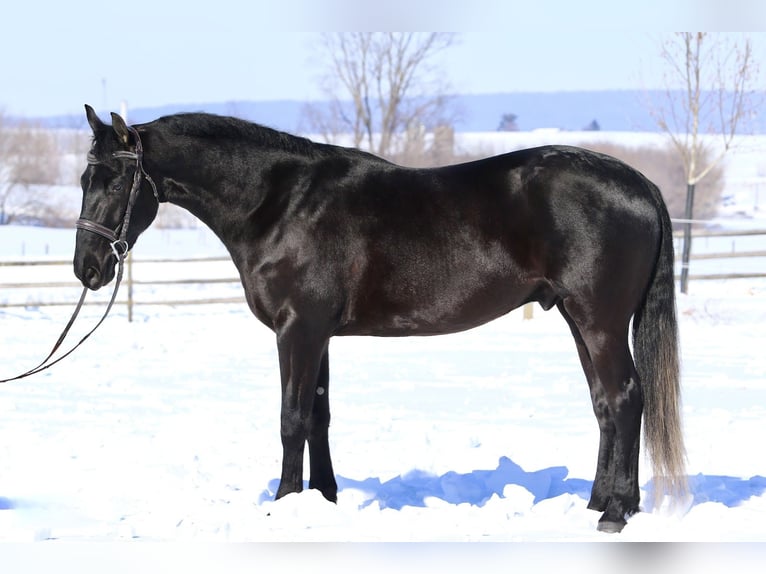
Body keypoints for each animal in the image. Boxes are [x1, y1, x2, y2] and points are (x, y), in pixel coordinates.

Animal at [74, 105, 686, 533]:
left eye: (115, 182)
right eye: (84, 181)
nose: (89, 268)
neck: (280, 204)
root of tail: (641, 185)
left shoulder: (298, 330)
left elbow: (291, 418)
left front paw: (283, 504)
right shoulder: (317, 334)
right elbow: (317, 417)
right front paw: (324, 498)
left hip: (600, 322)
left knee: (625, 397)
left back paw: (616, 513)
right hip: (579, 321)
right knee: (605, 405)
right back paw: (596, 503)